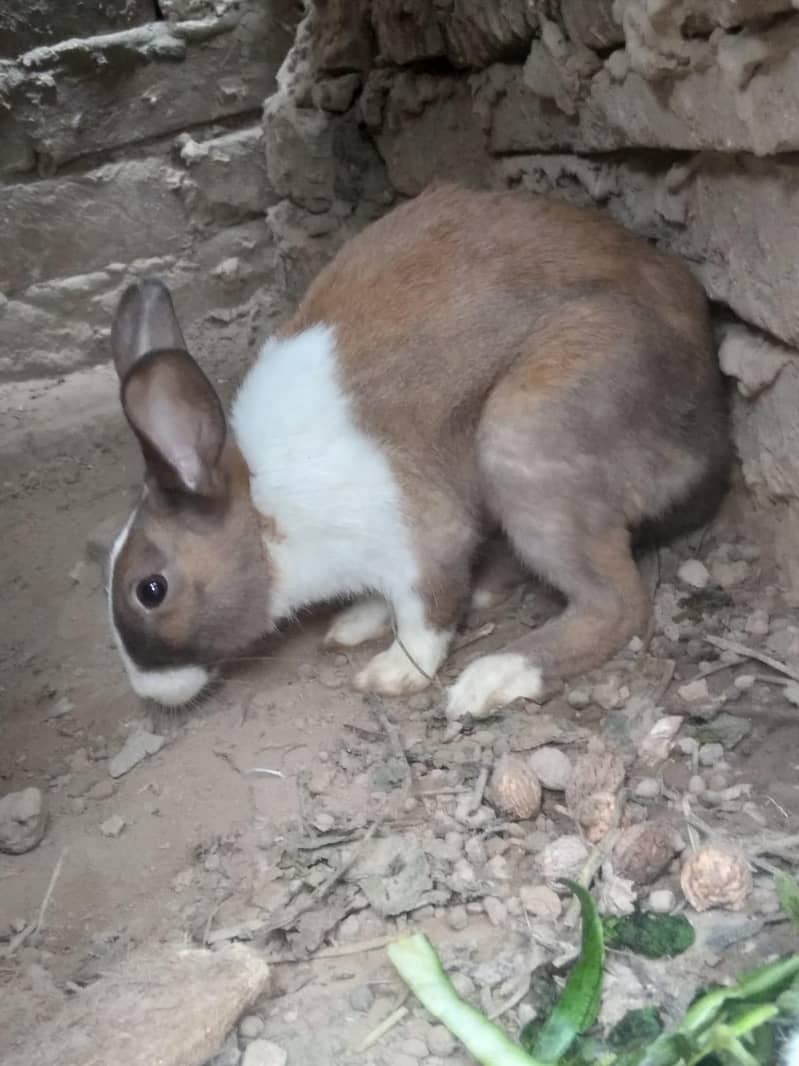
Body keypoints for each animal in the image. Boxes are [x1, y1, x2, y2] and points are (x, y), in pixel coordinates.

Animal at [107, 182, 730, 717]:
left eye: (150, 590)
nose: (146, 691)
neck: (265, 520)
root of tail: (707, 433)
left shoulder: (421, 538)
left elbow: (424, 615)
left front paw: (394, 673)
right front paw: (357, 621)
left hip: (521, 437)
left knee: (617, 604)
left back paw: (495, 676)